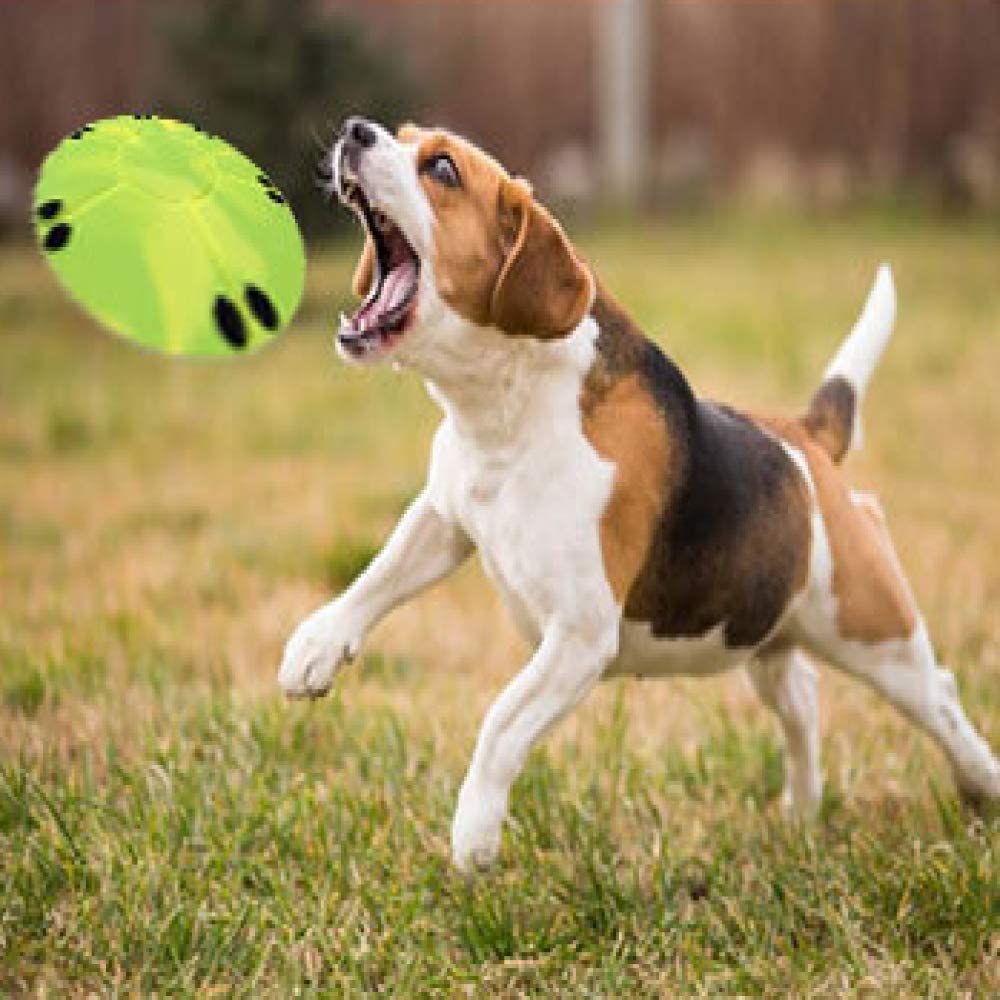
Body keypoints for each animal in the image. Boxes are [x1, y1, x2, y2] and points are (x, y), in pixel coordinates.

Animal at [280, 115, 1000, 868]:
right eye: (402, 133)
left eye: (442, 168)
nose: (356, 130)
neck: (507, 407)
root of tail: (805, 441)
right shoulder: (445, 516)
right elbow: (377, 576)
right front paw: (316, 646)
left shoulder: (579, 634)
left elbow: (500, 721)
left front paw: (474, 832)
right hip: (765, 633)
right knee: (802, 696)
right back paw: (803, 811)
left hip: (873, 631)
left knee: (939, 696)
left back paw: (980, 782)